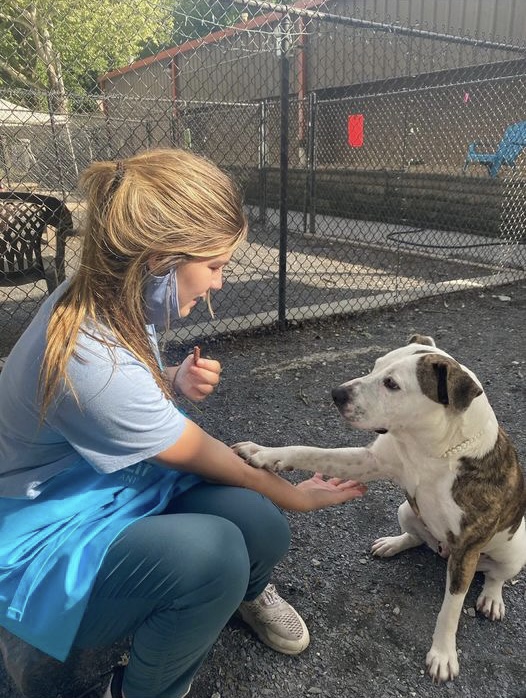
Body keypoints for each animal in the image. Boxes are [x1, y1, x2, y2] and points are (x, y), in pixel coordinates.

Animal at [235, 334, 526, 684]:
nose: (337, 393)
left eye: (392, 384)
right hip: (406, 509)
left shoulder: (466, 549)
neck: (432, 449)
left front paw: (443, 655)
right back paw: (393, 544)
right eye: (375, 365)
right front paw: (264, 453)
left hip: (513, 550)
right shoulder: (370, 461)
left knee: (497, 577)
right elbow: (310, 451)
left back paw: (492, 599)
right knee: (416, 536)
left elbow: (451, 609)